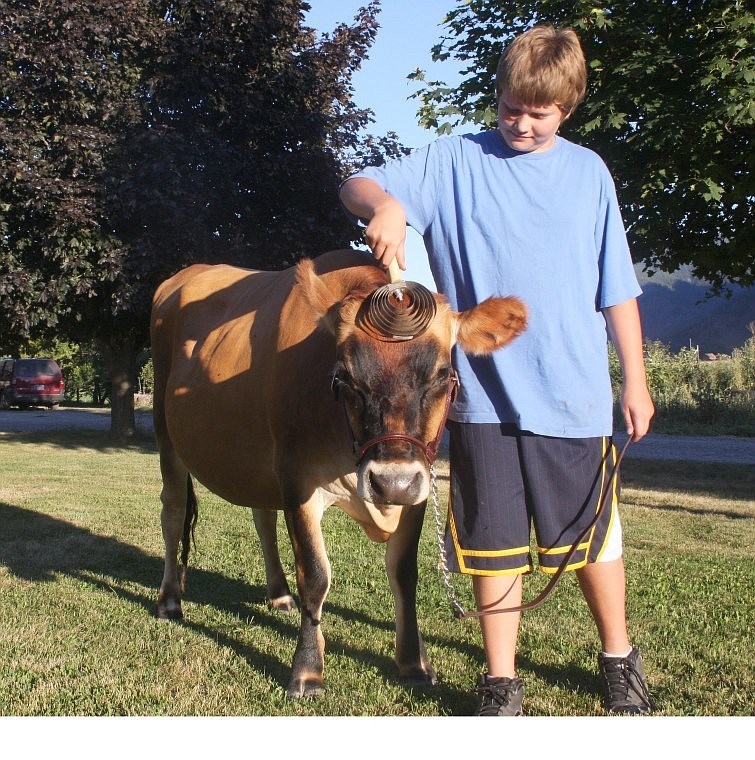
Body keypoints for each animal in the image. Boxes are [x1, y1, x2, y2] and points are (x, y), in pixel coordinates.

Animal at [151, 248, 528, 696]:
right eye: (344, 378)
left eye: (442, 375)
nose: (391, 481)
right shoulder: (297, 479)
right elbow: (315, 576)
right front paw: (307, 670)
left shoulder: (417, 488)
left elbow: (404, 573)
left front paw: (414, 663)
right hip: (166, 432)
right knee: (173, 512)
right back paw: (169, 599)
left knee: (262, 517)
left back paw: (278, 594)